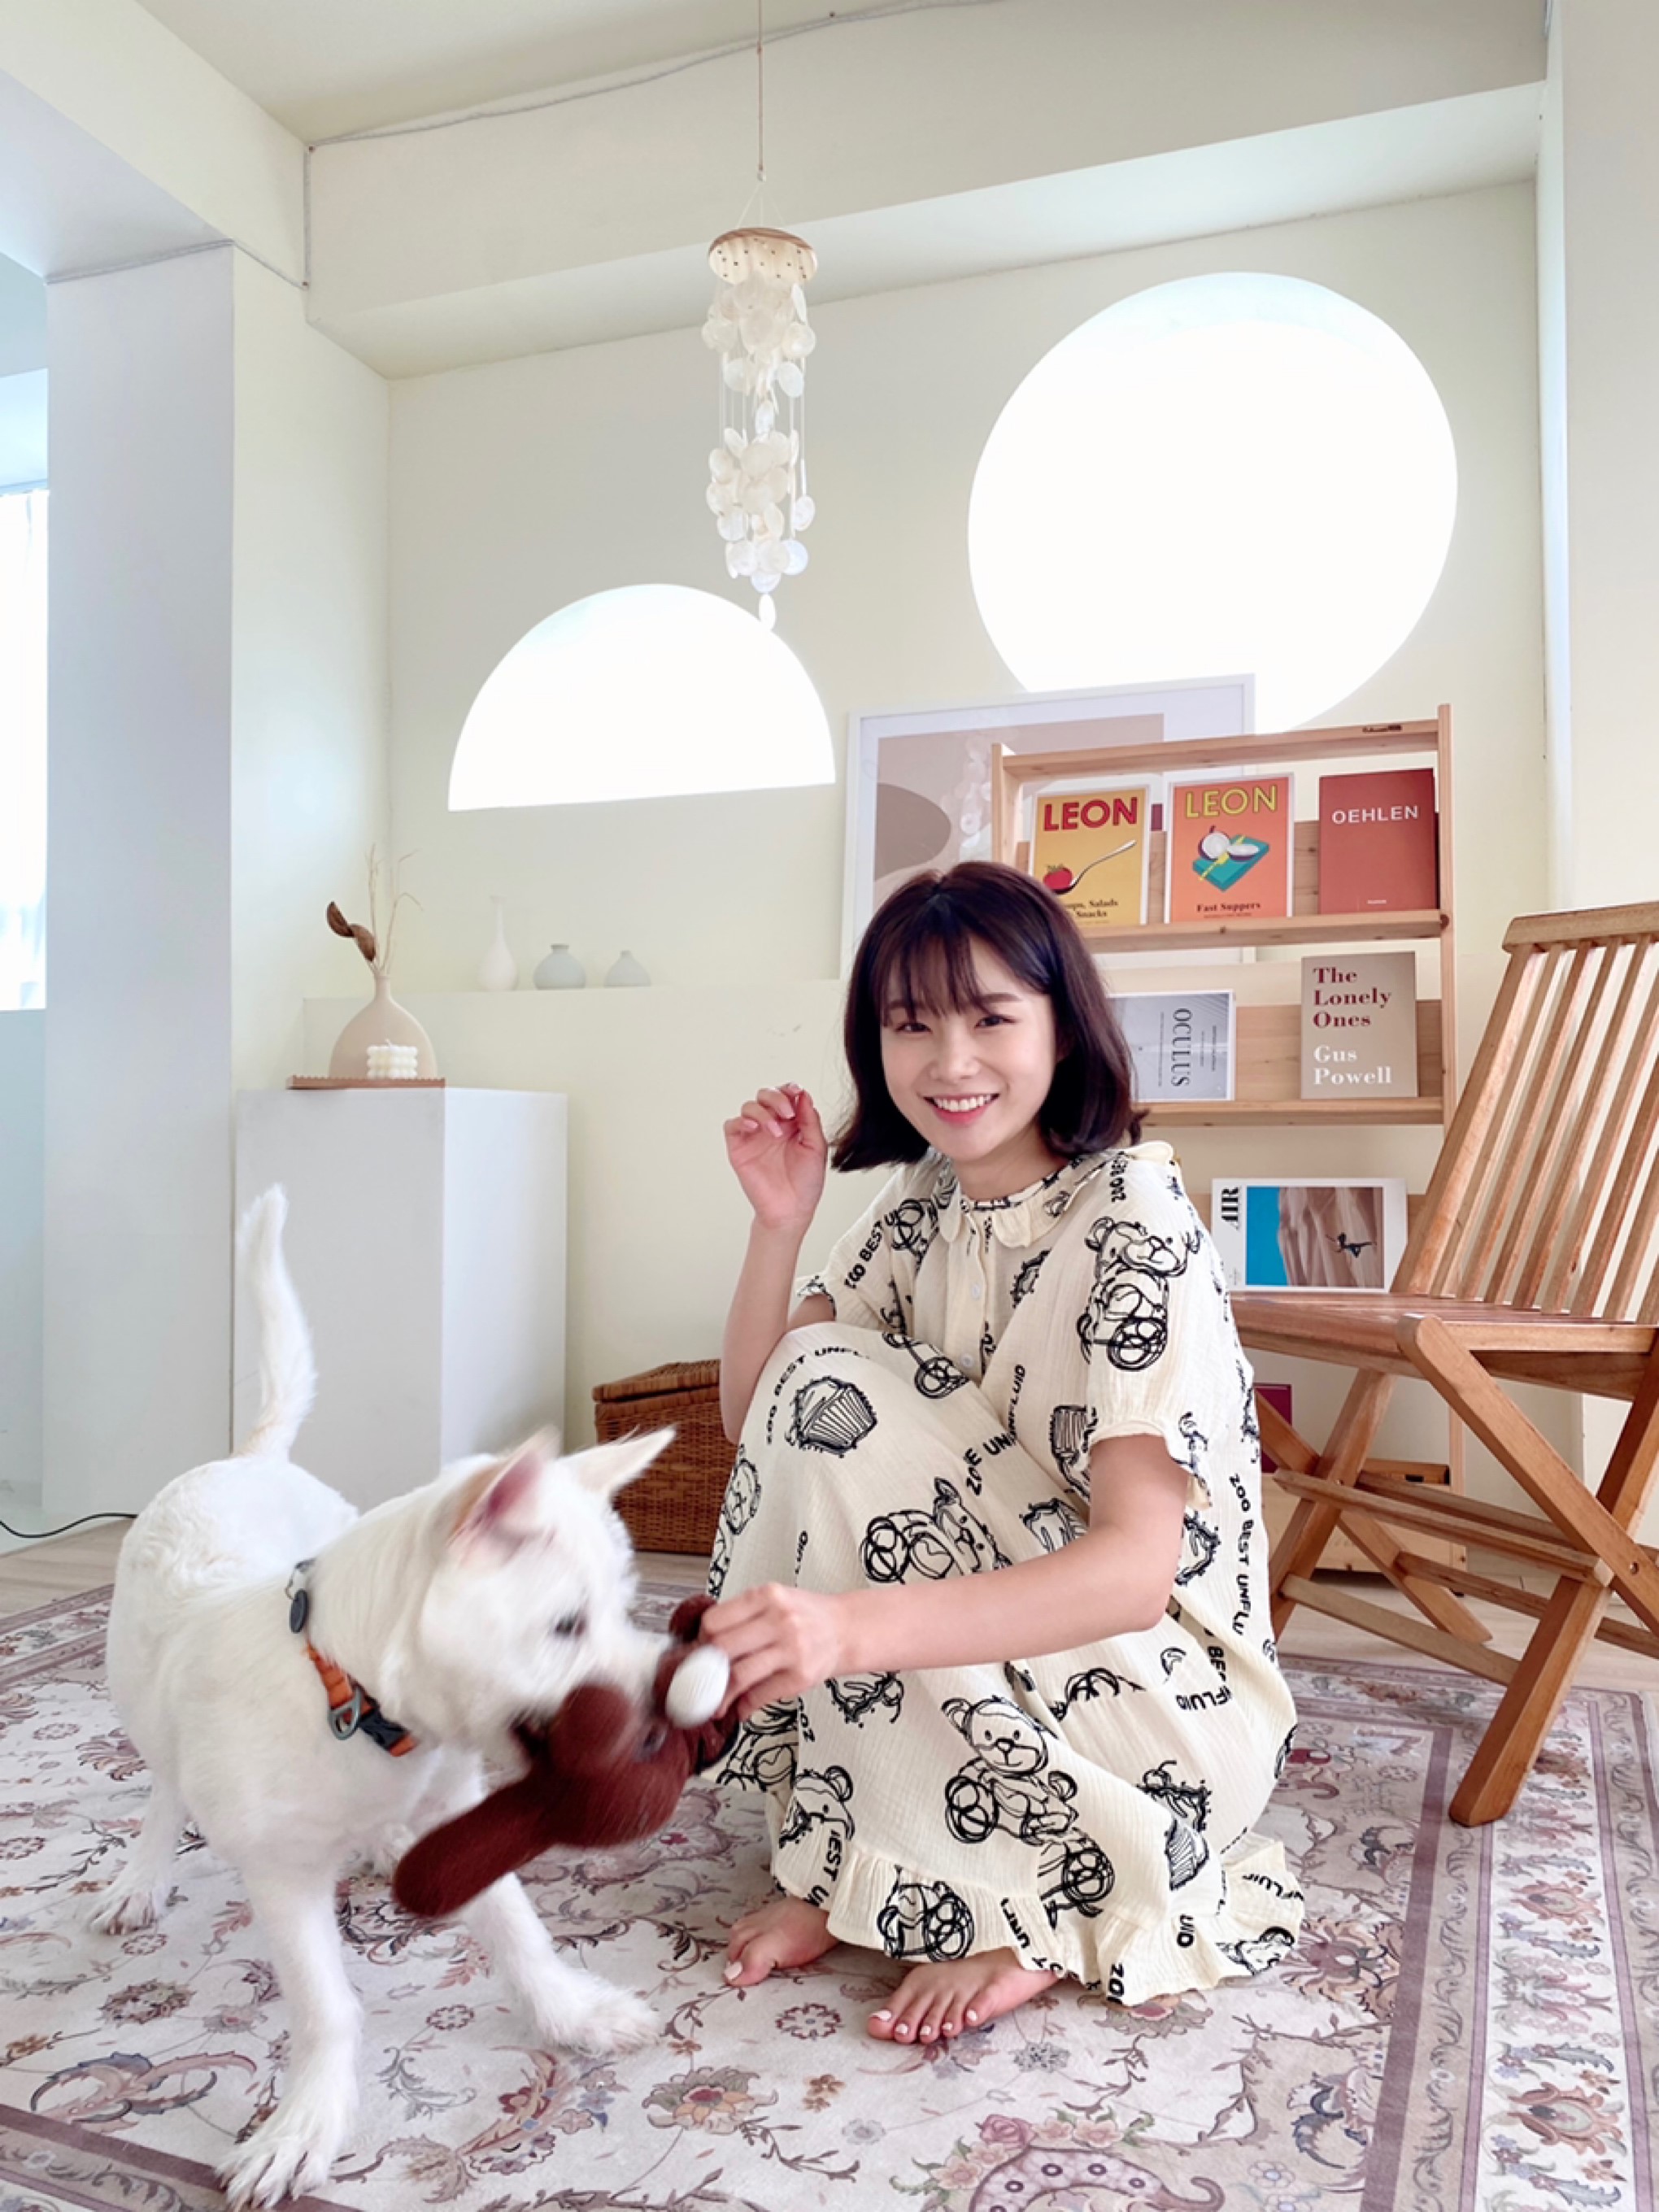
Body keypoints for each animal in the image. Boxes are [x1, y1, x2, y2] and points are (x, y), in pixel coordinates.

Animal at [95, 1187, 676, 2207]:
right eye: (568, 1625)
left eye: (621, 1608)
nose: (676, 1706)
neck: (362, 1707)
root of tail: (245, 1457)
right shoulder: (282, 1876)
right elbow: (325, 2003)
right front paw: (308, 2121)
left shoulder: (458, 1805)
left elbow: (519, 1928)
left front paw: (570, 2010)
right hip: (138, 1690)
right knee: (163, 1783)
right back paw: (144, 1870)